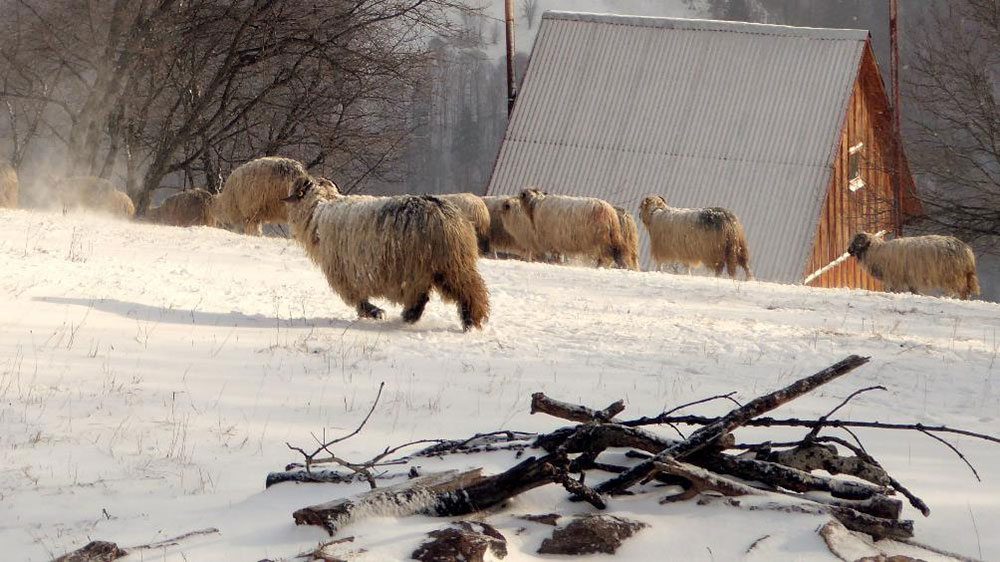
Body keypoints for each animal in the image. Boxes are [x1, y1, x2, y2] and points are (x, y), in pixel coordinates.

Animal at [282, 177, 488, 330]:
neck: (319, 209)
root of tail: (444, 212)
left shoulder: (344, 272)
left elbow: (357, 298)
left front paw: (374, 312)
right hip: (448, 263)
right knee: (462, 289)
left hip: (428, 265)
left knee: (452, 293)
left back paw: (466, 321)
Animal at [848, 231, 980, 300]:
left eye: (857, 242)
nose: (848, 250)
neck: (877, 252)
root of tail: (967, 250)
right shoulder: (909, 277)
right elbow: (913, 289)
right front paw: (920, 295)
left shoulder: (896, 278)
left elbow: (896, 290)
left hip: (954, 275)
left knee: (961, 290)